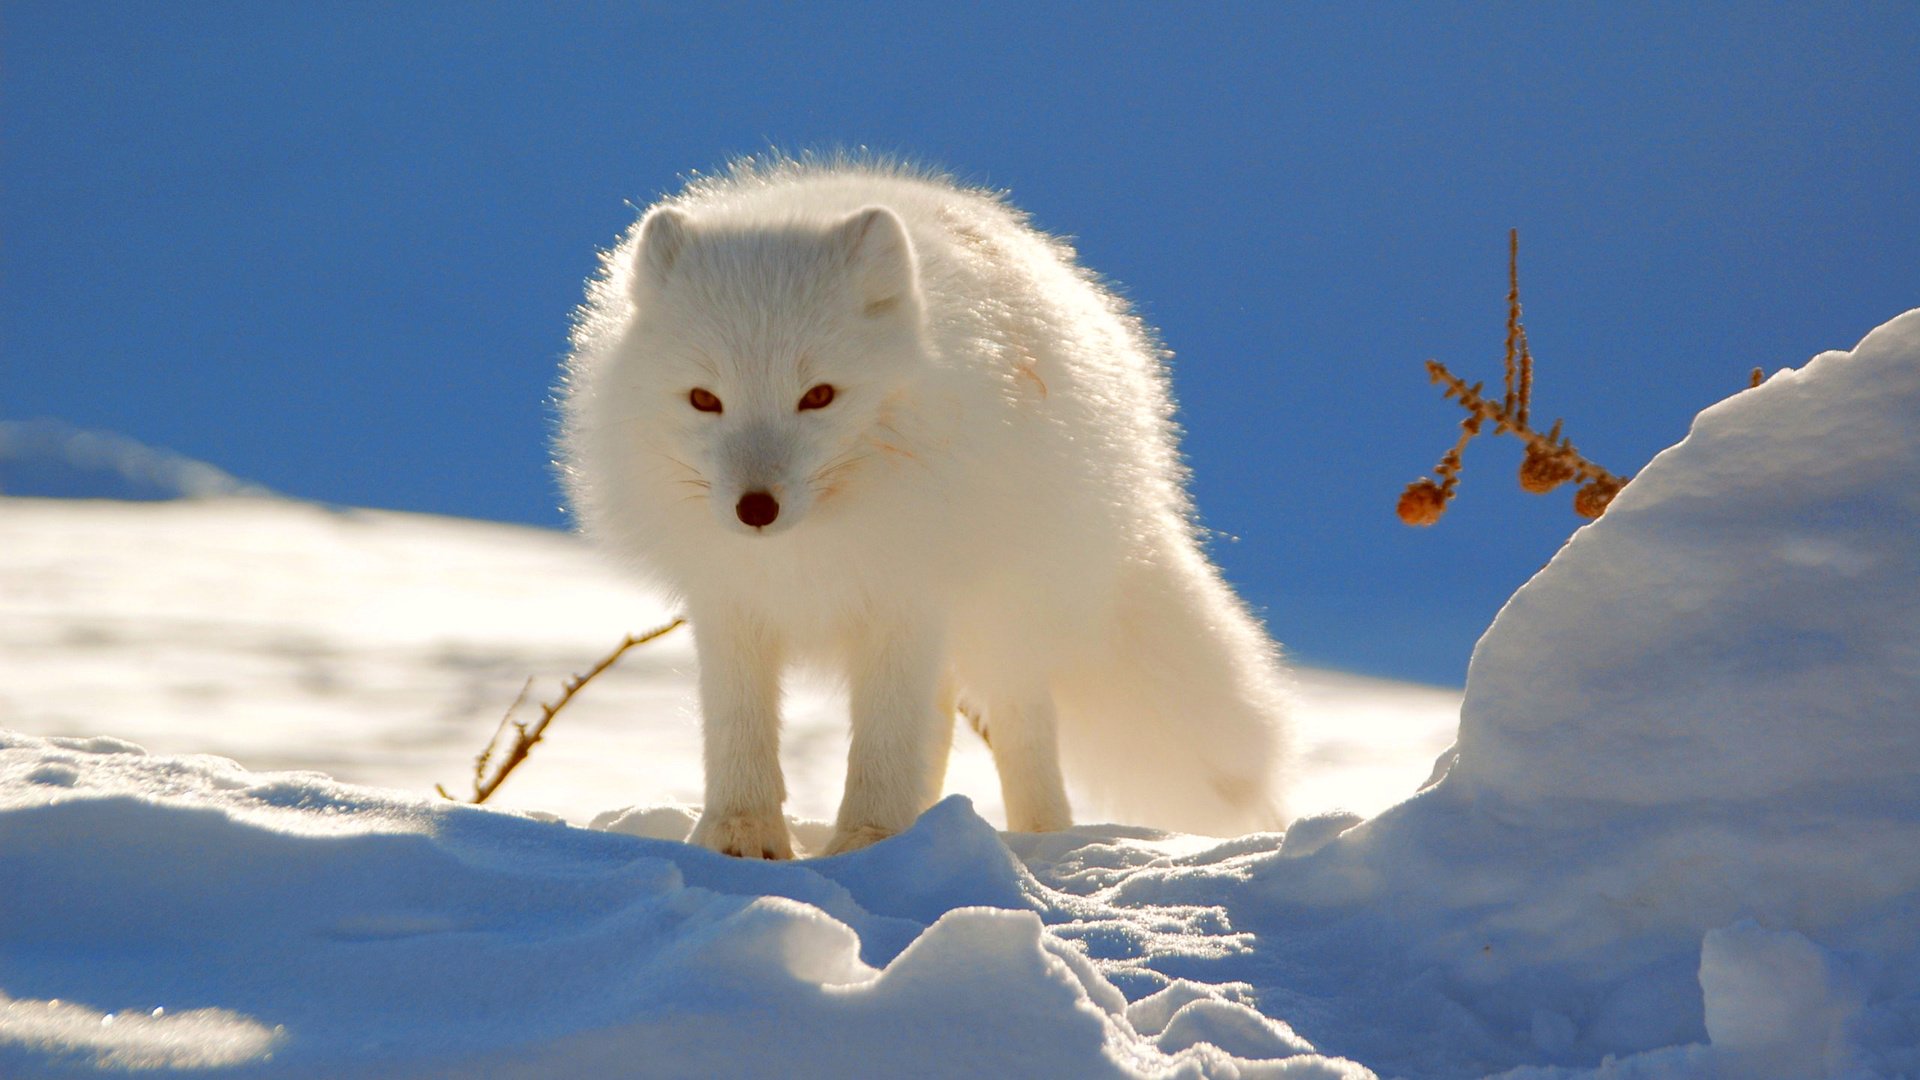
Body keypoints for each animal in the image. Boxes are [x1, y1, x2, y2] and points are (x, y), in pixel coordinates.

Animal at [560, 155, 1297, 853]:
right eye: (704, 399)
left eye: (818, 396)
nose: (755, 509)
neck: (810, 549)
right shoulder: (729, 601)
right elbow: (739, 728)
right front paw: (741, 837)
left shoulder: (906, 595)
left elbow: (886, 740)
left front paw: (868, 841)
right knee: (939, 725)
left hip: (1005, 616)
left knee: (1021, 730)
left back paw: (1039, 840)